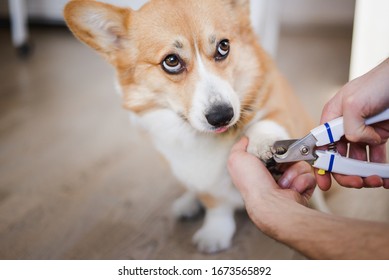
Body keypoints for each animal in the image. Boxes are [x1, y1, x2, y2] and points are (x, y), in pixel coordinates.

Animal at [65, 0, 316, 254]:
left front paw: (263, 142)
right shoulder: (195, 173)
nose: (222, 116)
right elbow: (216, 205)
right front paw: (215, 232)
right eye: (171, 61)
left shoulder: (280, 106)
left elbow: (268, 122)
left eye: (223, 46)